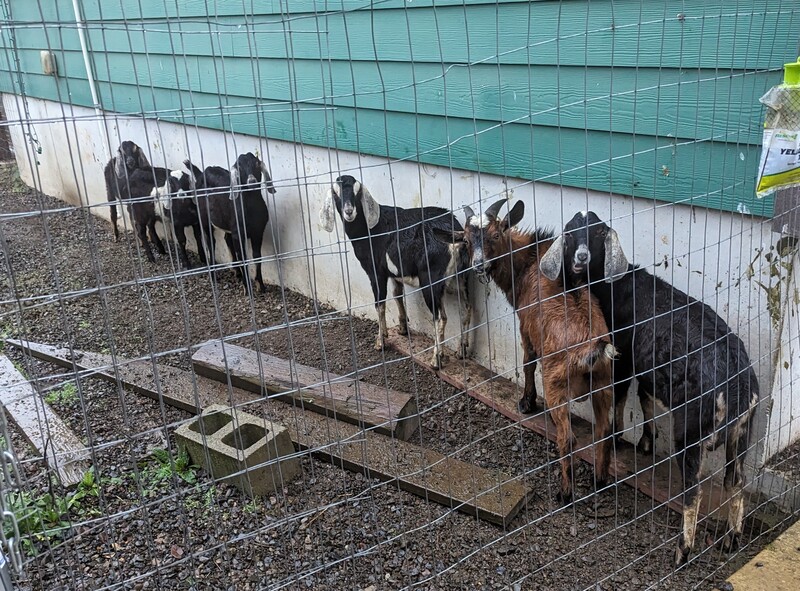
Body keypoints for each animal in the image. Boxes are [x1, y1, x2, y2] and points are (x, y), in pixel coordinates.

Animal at [184, 151, 276, 292]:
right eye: (239, 167)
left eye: (256, 163)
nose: (251, 181)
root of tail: (201, 174)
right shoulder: (238, 234)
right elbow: (243, 258)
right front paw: (247, 288)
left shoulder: (258, 231)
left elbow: (257, 256)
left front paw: (260, 285)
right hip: (205, 219)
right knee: (210, 242)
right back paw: (214, 277)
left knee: (227, 239)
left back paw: (237, 272)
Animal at [318, 175, 468, 370]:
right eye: (336, 194)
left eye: (357, 193)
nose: (349, 212)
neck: (369, 230)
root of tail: (455, 236)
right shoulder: (394, 272)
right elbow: (397, 295)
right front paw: (402, 328)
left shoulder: (375, 272)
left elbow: (379, 304)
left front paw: (380, 341)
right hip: (462, 277)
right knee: (466, 310)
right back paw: (461, 351)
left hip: (431, 278)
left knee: (440, 318)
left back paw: (436, 359)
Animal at [434, 200, 616, 504]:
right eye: (467, 241)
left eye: (496, 235)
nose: (479, 265)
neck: (529, 261)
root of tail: (592, 351)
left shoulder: (525, 327)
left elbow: (528, 363)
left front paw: (526, 402)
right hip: (605, 383)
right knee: (604, 431)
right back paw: (600, 481)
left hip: (556, 384)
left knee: (567, 439)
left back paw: (565, 493)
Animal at [548, 210, 760, 568]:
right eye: (570, 232)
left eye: (597, 234)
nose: (580, 258)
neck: (618, 289)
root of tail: (737, 386)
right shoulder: (646, 367)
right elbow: (645, 397)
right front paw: (646, 442)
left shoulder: (621, 355)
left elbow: (621, 394)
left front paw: (618, 436)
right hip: (742, 431)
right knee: (736, 480)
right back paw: (732, 539)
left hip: (692, 429)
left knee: (694, 491)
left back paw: (682, 551)